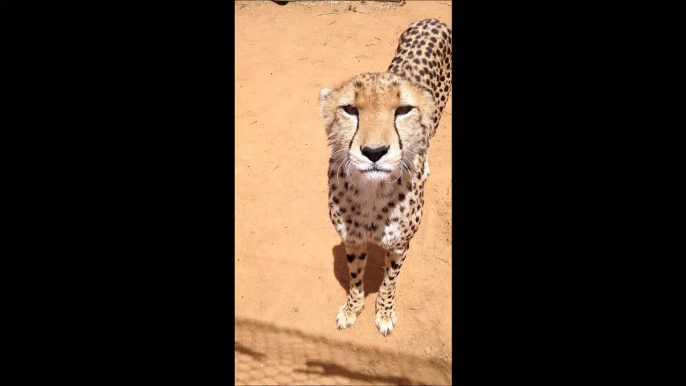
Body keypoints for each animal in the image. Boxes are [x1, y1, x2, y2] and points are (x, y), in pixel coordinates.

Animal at [320, 19, 454, 336]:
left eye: (403, 109)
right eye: (350, 109)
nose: (374, 151)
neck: (372, 193)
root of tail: (432, 20)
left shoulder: (399, 245)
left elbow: (390, 283)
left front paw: (384, 312)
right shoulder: (353, 240)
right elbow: (355, 277)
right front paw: (352, 308)